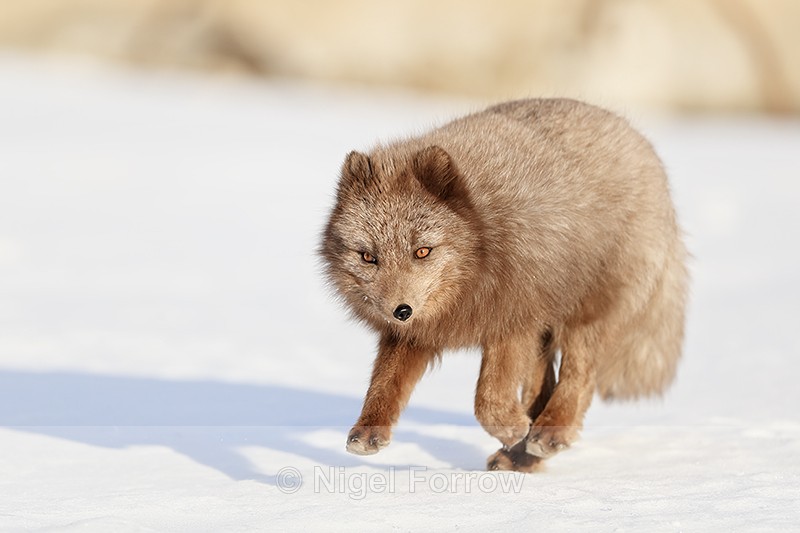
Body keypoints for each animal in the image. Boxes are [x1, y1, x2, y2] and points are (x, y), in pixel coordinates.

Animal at [320, 98, 689, 472]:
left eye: (422, 251)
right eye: (368, 257)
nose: (401, 311)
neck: (484, 238)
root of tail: (640, 139)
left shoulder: (513, 319)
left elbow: (488, 400)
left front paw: (513, 428)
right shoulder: (417, 333)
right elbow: (384, 383)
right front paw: (367, 432)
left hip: (584, 313)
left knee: (579, 379)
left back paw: (546, 435)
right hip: (545, 335)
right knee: (545, 388)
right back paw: (522, 457)